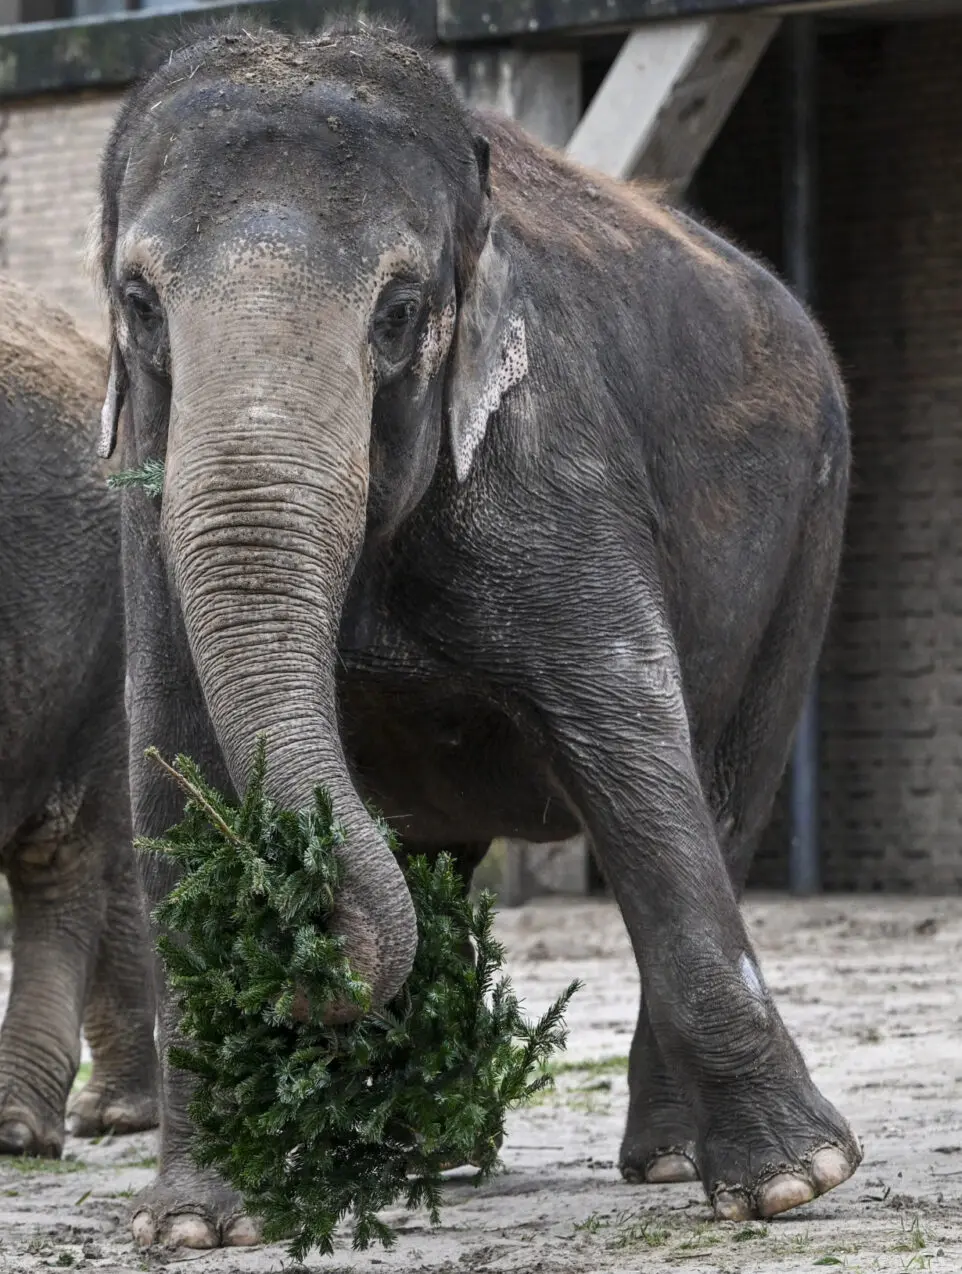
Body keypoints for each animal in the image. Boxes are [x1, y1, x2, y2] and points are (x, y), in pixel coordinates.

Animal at [98, 22, 861, 1253]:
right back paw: (418, 1152)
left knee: (725, 797)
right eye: (139, 302)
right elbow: (171, 770)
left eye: (400, 311)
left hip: (809, 536)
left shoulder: (549, 461)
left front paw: (797, 1185)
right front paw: (193, 1227)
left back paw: (662, 1159)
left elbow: (628, 740)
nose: (305, 951)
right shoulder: (148, 498)